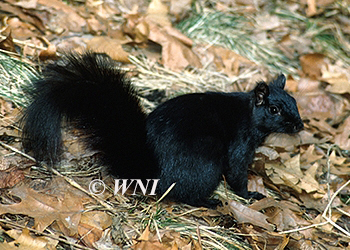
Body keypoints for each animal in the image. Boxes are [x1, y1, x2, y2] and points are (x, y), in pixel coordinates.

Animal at [21, 51, 304, 208]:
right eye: (274, 110)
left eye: (295, 102)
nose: (299, 125)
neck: (249, 115)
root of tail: (154, 175)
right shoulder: (240, 143)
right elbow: (236, 172)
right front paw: (249, 194)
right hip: (206, 162)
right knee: (186, 194)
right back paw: (209, 201)